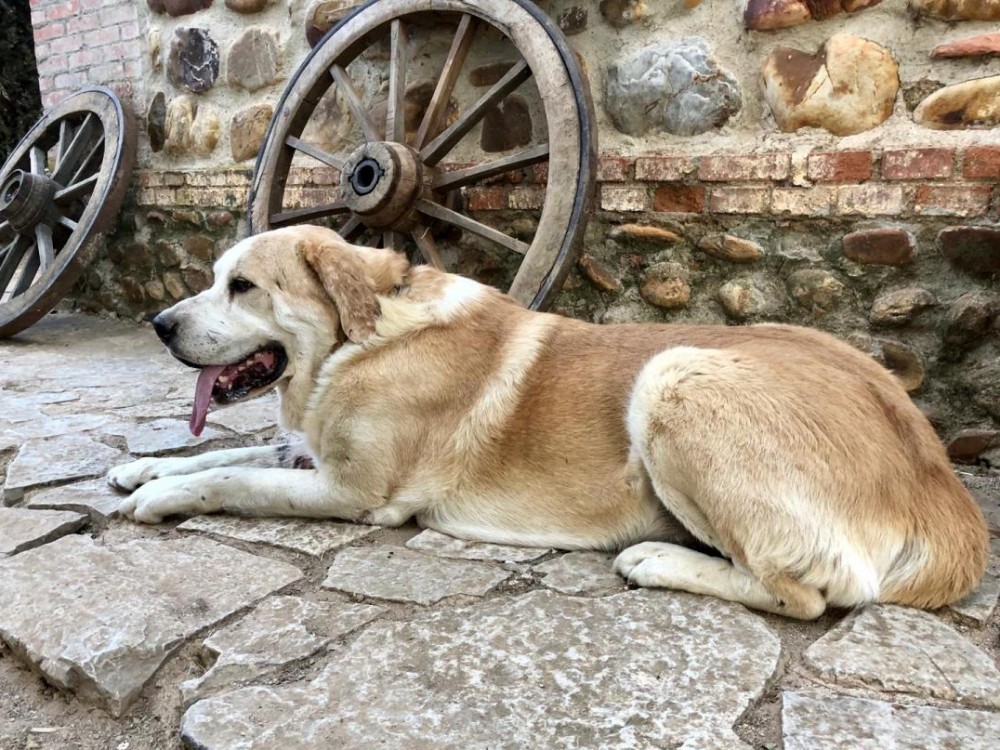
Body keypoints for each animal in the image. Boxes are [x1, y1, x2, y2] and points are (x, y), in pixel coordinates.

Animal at [108, 225, 989, 620]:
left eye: (243, 287)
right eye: (214, 279)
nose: (158, 323)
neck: (364, 334)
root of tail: (940, 481)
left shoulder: (356, 494)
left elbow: (231, 474)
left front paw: (159, 498)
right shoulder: (312, 454)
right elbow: (227, 450)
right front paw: (139, 468)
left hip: (674, 373)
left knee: (803, 594)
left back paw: (659, 560)